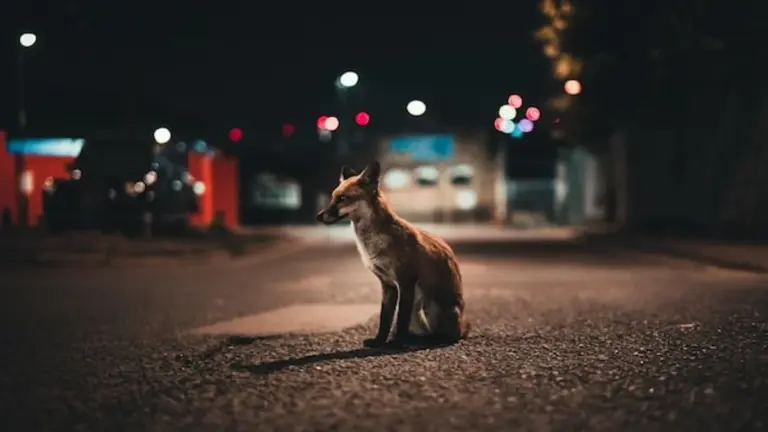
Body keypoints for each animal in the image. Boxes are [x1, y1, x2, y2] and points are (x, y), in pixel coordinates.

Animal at [316, 161, 471, 348]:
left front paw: (396, 343)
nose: (318, 216)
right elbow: (386, 319)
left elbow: (400, 319)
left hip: (427, 306)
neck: (372, 244)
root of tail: (463, 326)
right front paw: (379, 341)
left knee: (447, 336)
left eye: (343, 199)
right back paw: (414, 339)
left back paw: (425, 340)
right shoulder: (388, 284)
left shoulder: (406, 282)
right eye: (333, 197)